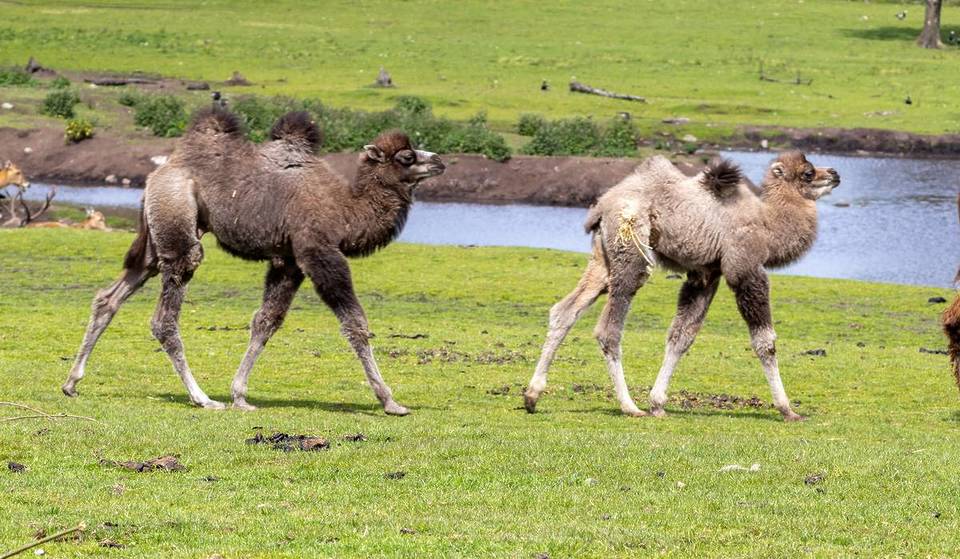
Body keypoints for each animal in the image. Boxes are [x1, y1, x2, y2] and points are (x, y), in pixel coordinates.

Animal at [63, 108, 445, 415]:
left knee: (110, 296)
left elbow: (266, 321)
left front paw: (240, 395)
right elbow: (355, 323)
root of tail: (158, 174)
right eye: (407, 157)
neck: (346, 210)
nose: (440, 160)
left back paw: (71, 382)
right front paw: (390, 401)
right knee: (164, 316)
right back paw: (202, 398)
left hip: (158, 237)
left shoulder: (288, 260)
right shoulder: (318, 251)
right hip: (178, 221)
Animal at [524, 152, 840, 421]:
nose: (835, 173)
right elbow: (765, 342)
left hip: (602, 259)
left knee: (565, 310)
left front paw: (657, 403)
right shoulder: (745, 268)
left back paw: (532, 396)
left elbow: (681, 337)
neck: (767, 225)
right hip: (631, 251)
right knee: (608, 329)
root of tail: (601, 207)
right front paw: (788, 410)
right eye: (808, 173)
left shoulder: (707, 273)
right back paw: (629, 406)